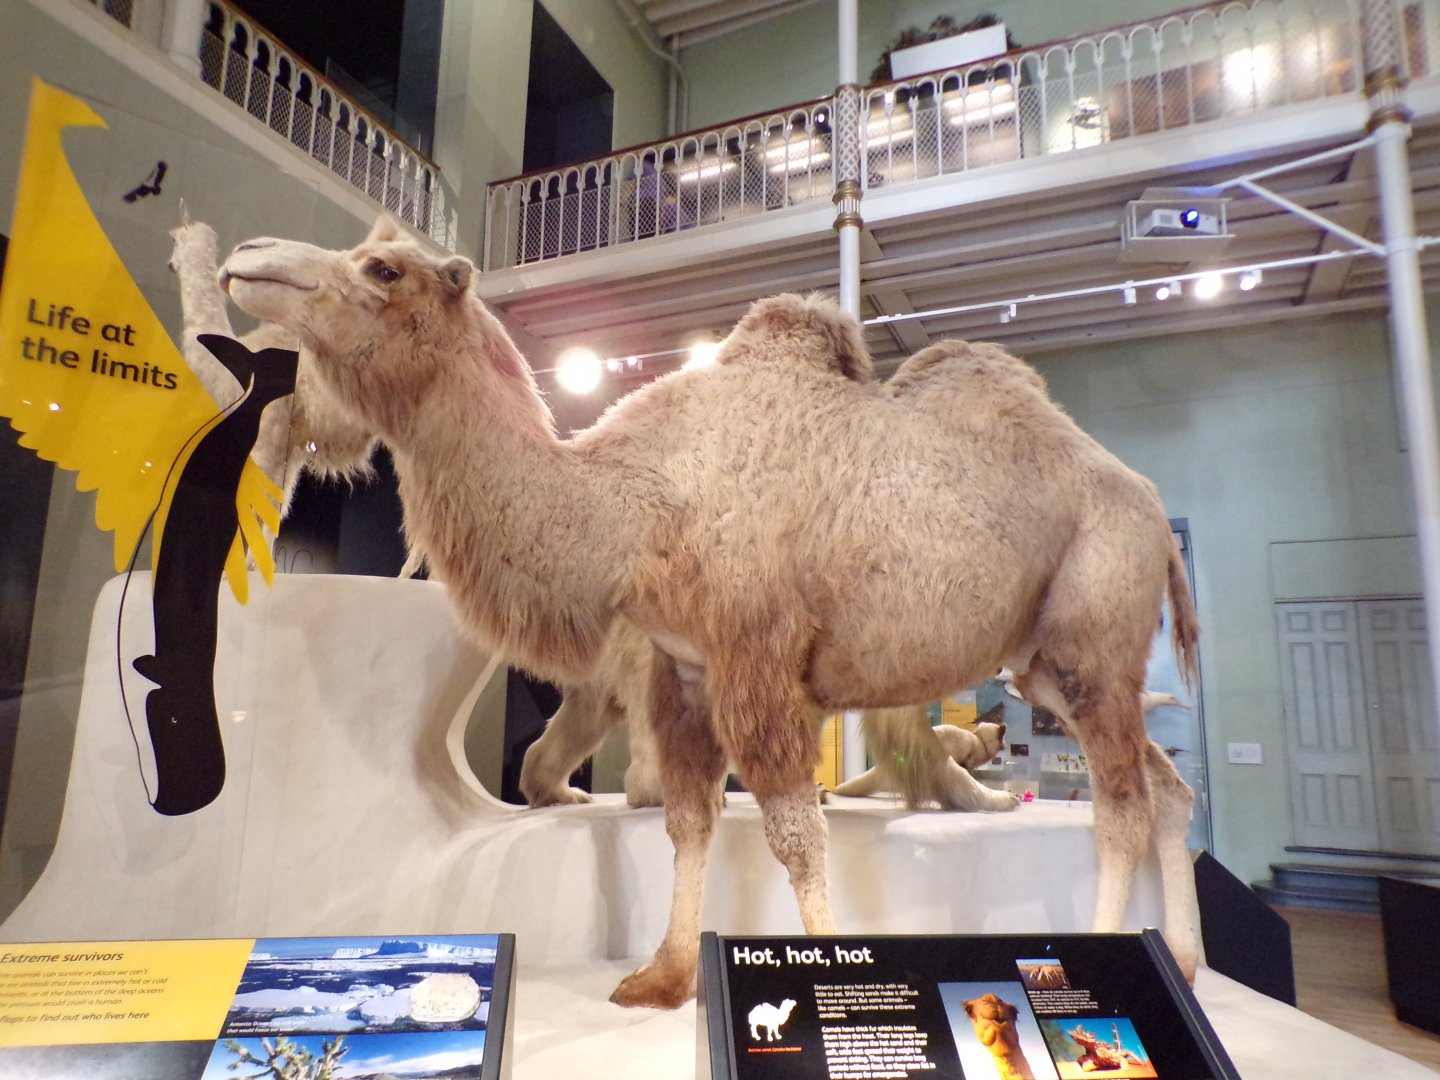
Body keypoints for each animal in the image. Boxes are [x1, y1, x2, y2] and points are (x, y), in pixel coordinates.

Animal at [219, 218, 1200, 1010]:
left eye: (384, 269)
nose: (247, 255)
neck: (632, 508)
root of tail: (1152, 508)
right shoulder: (681, 669)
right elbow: (688, 822)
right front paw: (661, 978)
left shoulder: (756, 657)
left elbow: (796, 836)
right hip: (1050, 663)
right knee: (1166, 789)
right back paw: (1184, 963)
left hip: (1095, 630)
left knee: (1119, 805)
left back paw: (1108, 958)